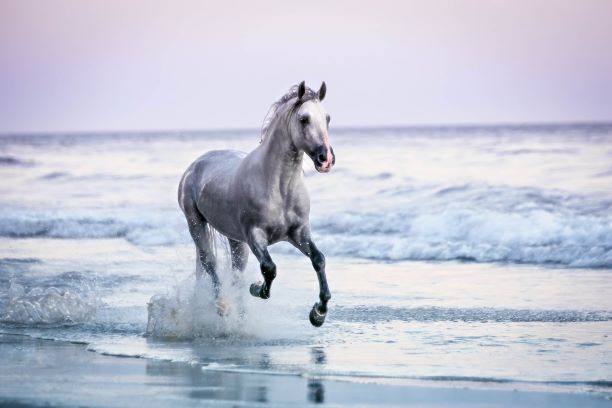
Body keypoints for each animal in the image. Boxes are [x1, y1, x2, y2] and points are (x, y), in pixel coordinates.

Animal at [178, 81, 334, 326]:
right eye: (304, 119)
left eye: (327, 118)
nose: (325, 159)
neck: (279, 188)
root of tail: (195, 165)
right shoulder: (255, 236)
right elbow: (269, 269)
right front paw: (257, 288)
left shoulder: (299, 233)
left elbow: (319, 260)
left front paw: (318, 314)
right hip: (196, 225)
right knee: (210, 264)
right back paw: (222, 306)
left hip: (235, 240)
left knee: (236, 272)